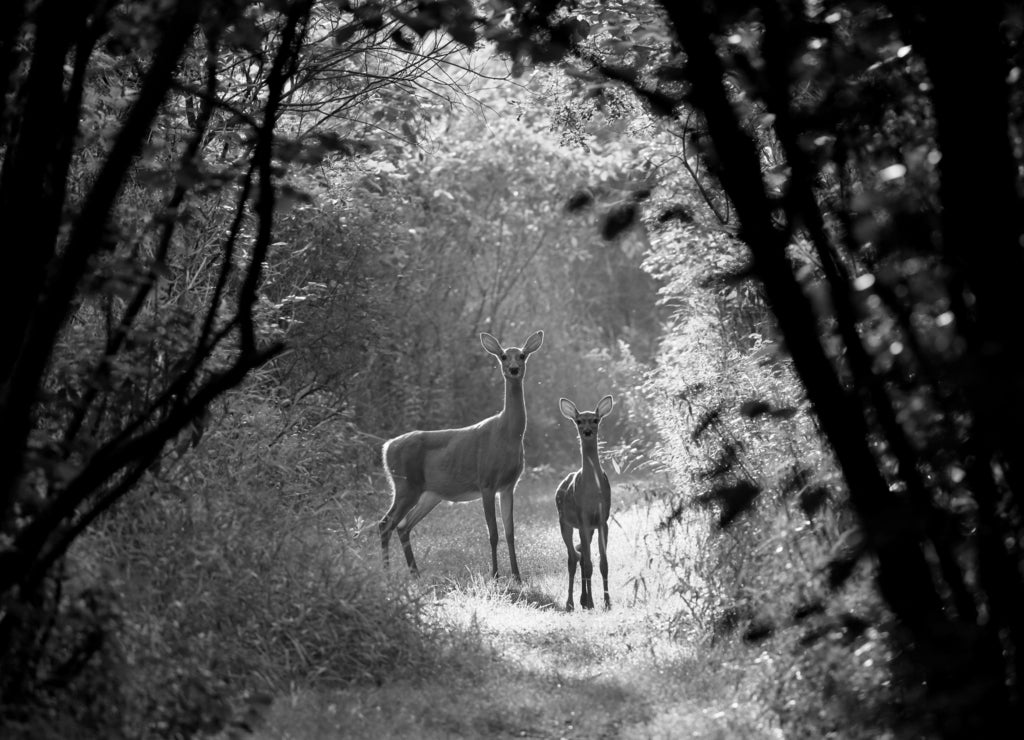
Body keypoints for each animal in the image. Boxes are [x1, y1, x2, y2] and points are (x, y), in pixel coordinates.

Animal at [378, 330, 544, 582]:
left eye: (523, 355)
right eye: (504, 356)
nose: (514, 369)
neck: (507, 434)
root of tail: (387, 448)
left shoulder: (508, 485)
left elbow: (510, 532)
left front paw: (517, 576)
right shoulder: (486, 481)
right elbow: (493, 533)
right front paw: (495, 575)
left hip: (429, 494)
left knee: (403, 526)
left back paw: (415, 574)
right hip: (405, 485)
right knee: (385, 523)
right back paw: (387, 575)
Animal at [555, 394, 614, 611]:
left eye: (595, 420)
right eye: (579, 421)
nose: (587, 431)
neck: (592, 491)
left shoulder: (602, 520)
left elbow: (603, 564)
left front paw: (607, 602)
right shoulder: (582, 518)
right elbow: (588, 563)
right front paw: (592, 602)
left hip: (588, 528)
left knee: (580, 556)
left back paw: (583, 600)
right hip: (564, 522)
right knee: (573, 558)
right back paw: (572, 603)